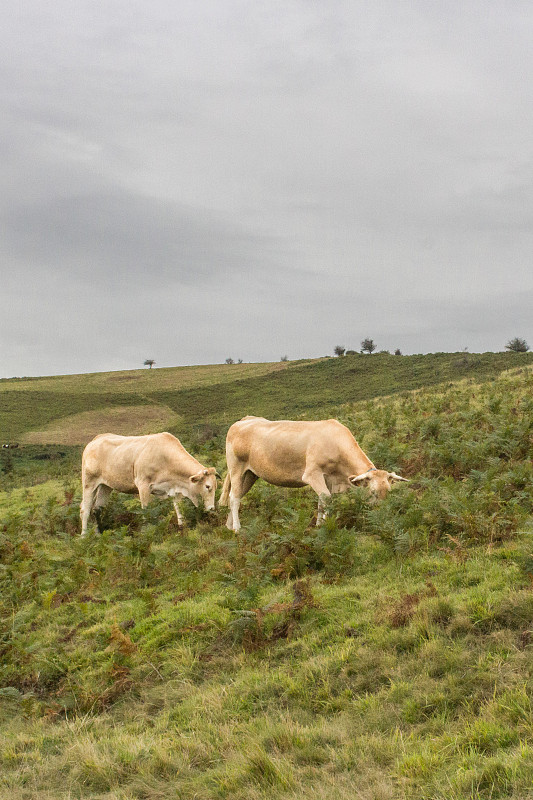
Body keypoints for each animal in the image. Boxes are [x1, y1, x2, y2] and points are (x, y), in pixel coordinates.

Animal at [80, 432, 217, 536]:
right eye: (207, 486)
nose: (212, 508)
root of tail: (97, 439)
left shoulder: (173, 488)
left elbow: (178, 509)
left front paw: (181, 527)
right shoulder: (143, 486)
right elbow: (146, 511)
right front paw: (146, 531)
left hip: (106, 486)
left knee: (97, 509)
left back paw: (99, 533)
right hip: (89, 482)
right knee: (85, 510)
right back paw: (84, 536)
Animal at [220, 418, 408, 532]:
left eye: (389, 491)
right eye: (373, 492)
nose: (383, 514)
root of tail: (244, 420)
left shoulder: (329, 478)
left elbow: (322, 502)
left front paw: (320, 525)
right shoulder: (312, 473)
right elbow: (326, 498)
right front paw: (324, 525)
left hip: (251, 474)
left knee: (235, 496)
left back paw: (229, 526)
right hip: (236, 468)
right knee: (234, 497)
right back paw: (237, 528)